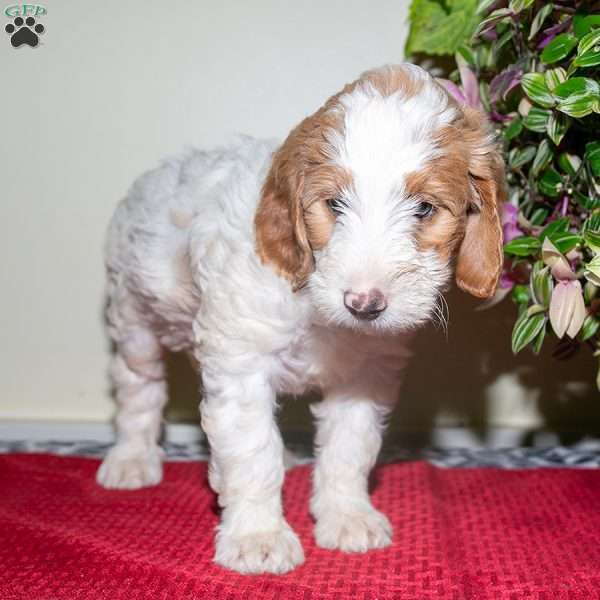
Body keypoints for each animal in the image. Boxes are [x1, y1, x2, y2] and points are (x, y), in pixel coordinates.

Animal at [99, 63, 506, 576]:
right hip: (132, 313)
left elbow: (349, 446)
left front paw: (346, 515)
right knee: (138, 387)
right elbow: (252, 451)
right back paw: (131, 460)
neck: (311, 299)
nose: (364, 304)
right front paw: (258, 536)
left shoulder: (365, 373)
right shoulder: (241, 362)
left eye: (425, 208)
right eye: (334, 204)